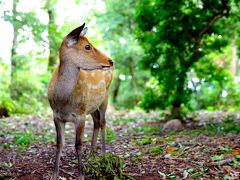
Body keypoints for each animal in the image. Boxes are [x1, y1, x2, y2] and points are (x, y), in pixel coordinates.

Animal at [48, 23, 114, 179]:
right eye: (87, 46)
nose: (110, 61)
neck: (63, 101)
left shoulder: (80, 114)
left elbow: (78, 145)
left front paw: (81, 175)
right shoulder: (56, 116)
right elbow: (59, 143)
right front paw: (54, 175)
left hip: (105, 98)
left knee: (103, 122)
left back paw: (104, 157)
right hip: (91, 107)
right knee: (97, 122)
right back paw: (91, 157)